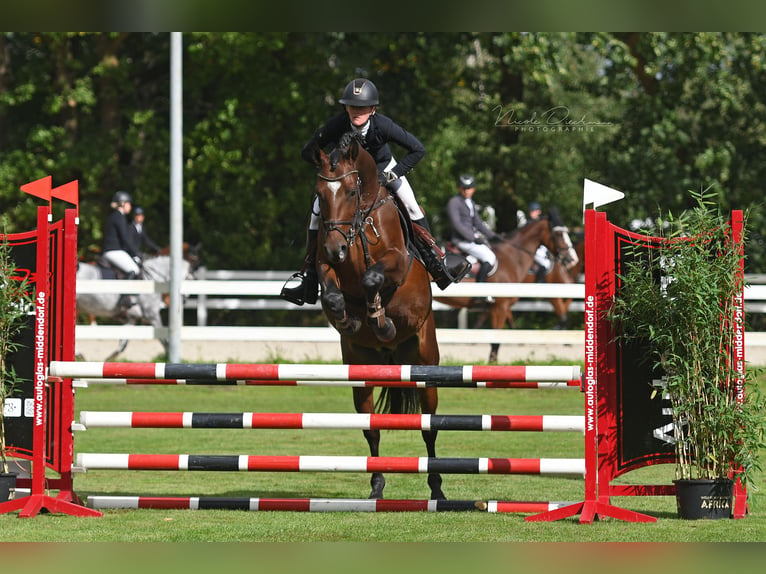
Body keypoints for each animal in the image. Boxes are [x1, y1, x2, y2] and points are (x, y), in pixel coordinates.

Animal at [310, 133, 444, 502]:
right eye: (320, 194)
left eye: (351, 192)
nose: (335, 249)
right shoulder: (324, 264)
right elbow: (331, 294)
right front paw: (350, 320)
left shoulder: (396, 261)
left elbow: (373, 279)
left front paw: (380, 320)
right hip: (362, 371)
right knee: (371, 428)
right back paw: (377, 484)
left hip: (425, 362)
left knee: (429, 427)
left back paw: (437, 489)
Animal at [436, 214, 580, 366]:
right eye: (559, 234)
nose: (572, 258)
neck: (511, 258)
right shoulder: (500, 306)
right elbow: (496, 339)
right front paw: (492, 362)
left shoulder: (502, 306)